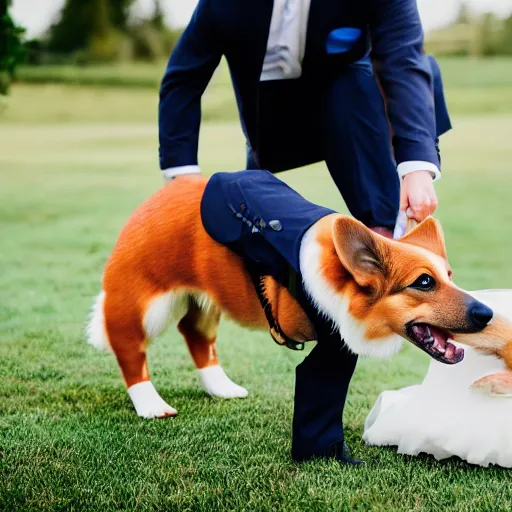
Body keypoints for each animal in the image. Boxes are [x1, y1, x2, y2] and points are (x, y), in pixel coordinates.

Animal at [88, 174, 512, 418]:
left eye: (449, 276)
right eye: (423, 283)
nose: (487, 313)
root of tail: (160, 196)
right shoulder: (331, 348)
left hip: (205, 302)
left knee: (196, 335)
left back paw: (221, 388)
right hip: (143, 303)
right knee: (128, 347)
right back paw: (151, 406)